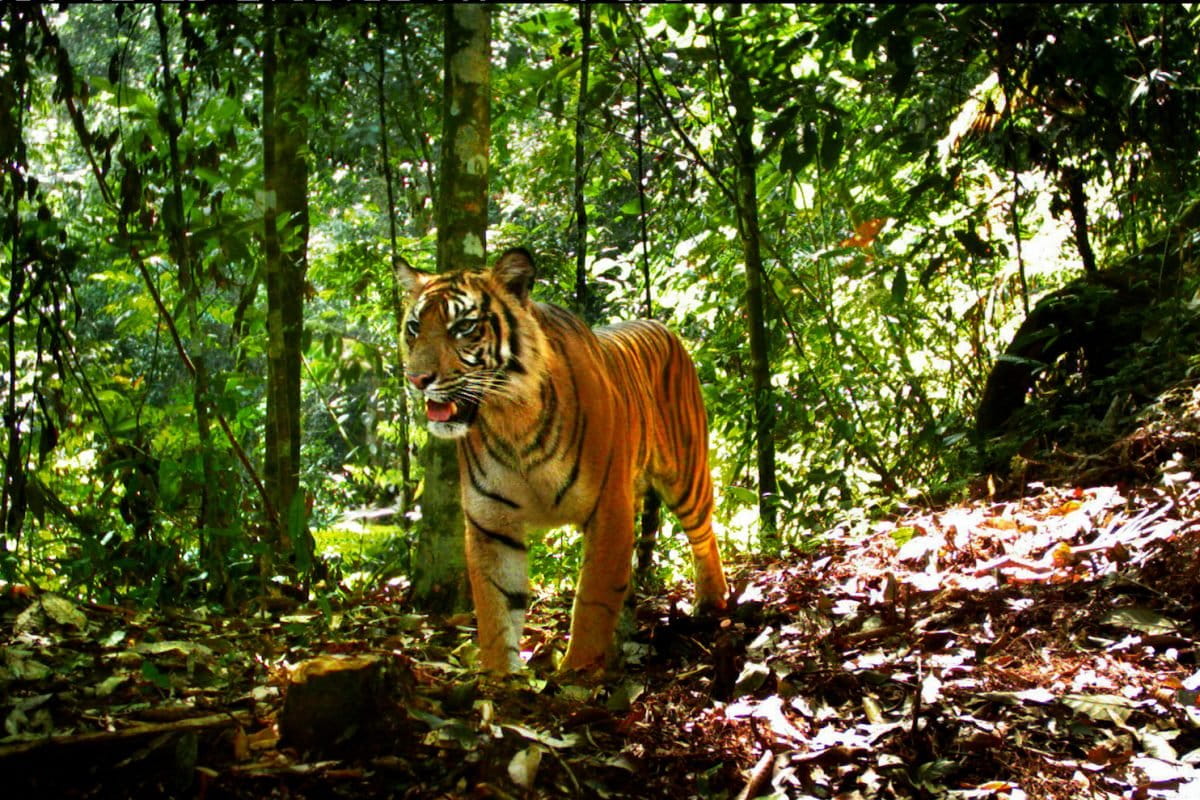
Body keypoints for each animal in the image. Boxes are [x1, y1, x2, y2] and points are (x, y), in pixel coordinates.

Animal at [397, 247, 728, 673]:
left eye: (465, 327)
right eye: (414, 327)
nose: (416, 379)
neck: (511, 419)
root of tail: (660, 324)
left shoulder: (609, 508)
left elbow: (593, 600)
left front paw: (577, 673)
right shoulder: (491, 523)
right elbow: (495, 609)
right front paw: (500, 677)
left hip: (687, 476)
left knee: (703, 533)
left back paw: (712, 600)